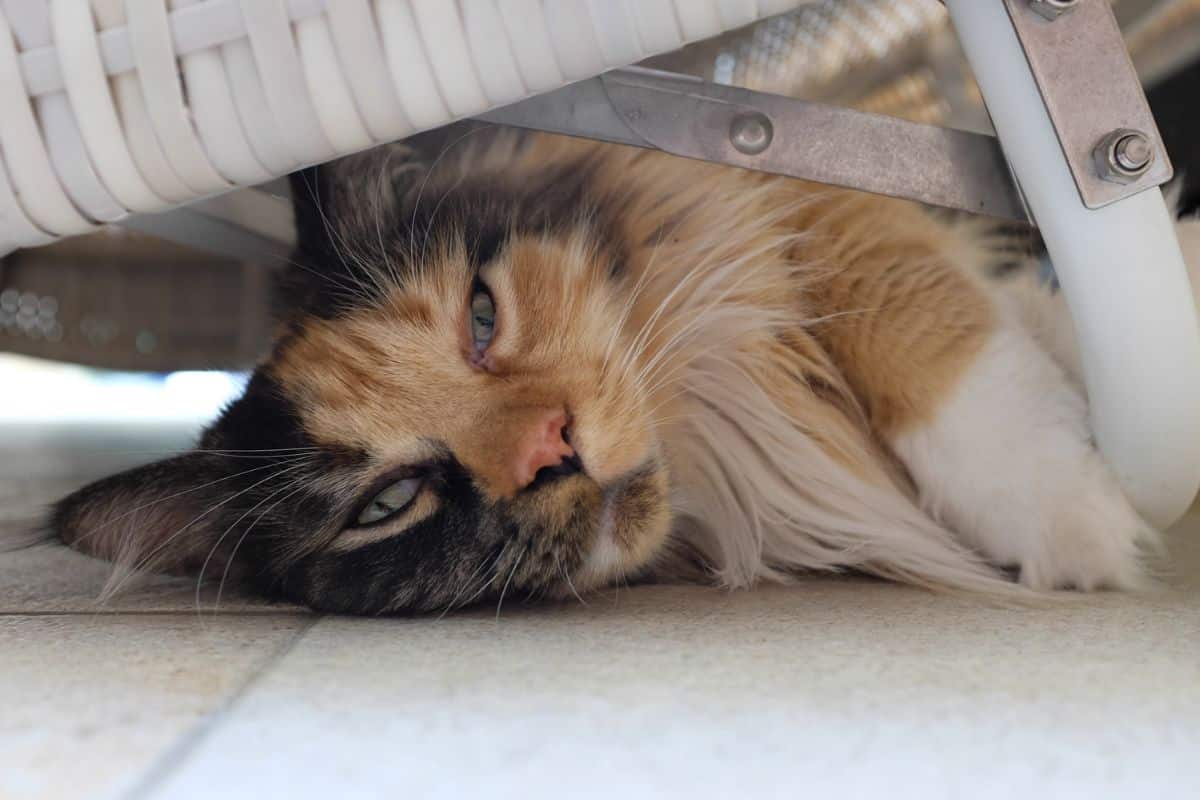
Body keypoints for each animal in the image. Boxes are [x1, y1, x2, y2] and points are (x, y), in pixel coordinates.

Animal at [49, 126, 1180, 614]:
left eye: (482, 315)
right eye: (390, 503)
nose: (553, 449)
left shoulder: (811, 219)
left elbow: (946, 350)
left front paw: (1069, 517)